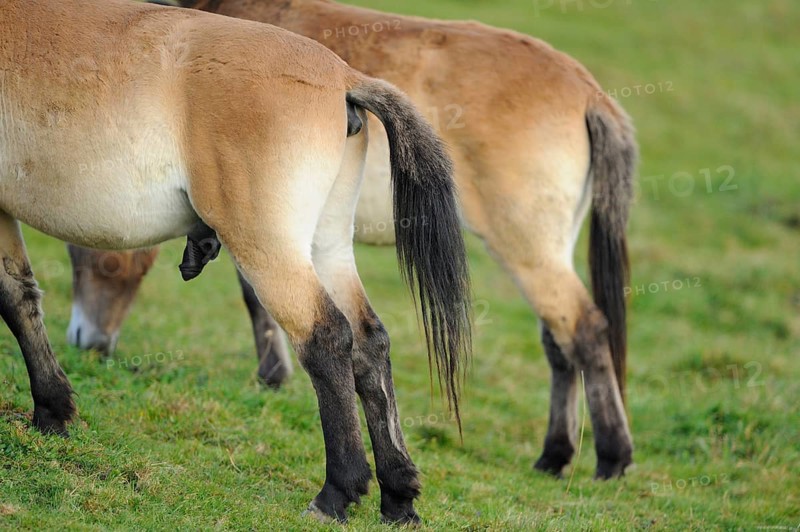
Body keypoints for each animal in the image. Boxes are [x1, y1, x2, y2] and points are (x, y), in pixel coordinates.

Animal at [0, 0, 472, 523]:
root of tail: (343, 77)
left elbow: (12, 297)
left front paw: (49, 410)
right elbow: (20, 295)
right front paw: (52, 411)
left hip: (268, 249)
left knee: (327, 337)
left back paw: (335, 493)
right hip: (325, 247)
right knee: (370, 341)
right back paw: (398, 495)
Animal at [68, 0, 637, 479]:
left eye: (85, 256)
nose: (85, 342)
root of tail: (587, 90)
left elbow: (256, 298)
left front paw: (273, 375)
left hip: (527, 249)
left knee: (585, 330)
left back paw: (612, 457)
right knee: (559, 342)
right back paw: (554, 456)